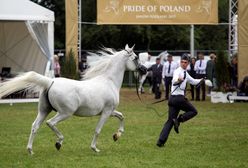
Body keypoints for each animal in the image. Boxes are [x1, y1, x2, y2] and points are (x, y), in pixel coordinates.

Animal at [0, 44, 145, 154]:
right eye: (135, 58)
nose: (144, 70)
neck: (109, 81)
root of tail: (51, 82)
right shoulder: (106, 112)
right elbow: (98, 130)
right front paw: (95, 148)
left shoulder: (110, 111)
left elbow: (121, 116)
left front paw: (116, 135)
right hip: (65, 113)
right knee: (50, 123)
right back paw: (58, 143)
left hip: (44, 110)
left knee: (35, 126)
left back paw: (30, 150)